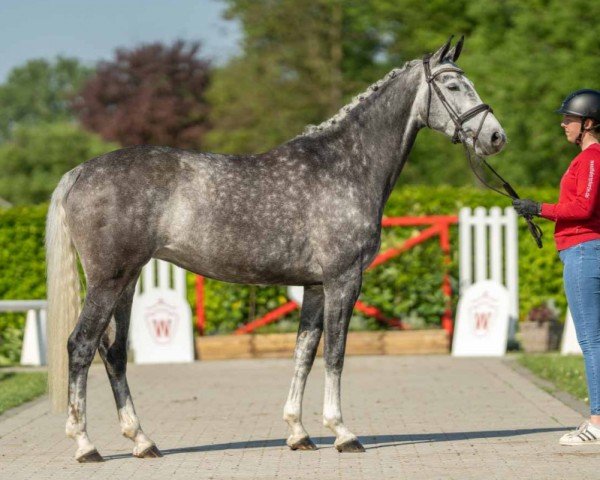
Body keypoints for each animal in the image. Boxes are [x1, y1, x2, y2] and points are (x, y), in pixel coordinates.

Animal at [48, 37, 506, 462]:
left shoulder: (316, 287)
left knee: (114, 352)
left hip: (126, 282)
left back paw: (142, 441)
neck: (345, 166)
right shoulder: (343, 280)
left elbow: (303, 352)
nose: (496, 136)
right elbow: (335, 354)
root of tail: (79, 172)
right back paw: (85, 444)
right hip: (109, 281)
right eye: (452, 84)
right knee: (81, 346)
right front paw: (342, 432)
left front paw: (298, 433)